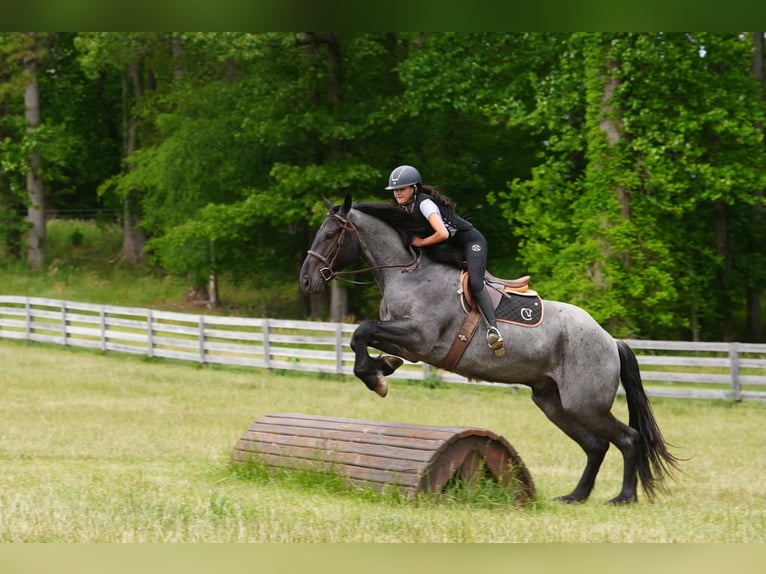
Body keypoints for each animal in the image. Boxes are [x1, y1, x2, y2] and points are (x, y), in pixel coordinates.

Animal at [298, 194, 680, 504]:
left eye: (330, 235)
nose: (306, 280)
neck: (408, 273)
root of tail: (610, 340)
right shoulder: (410, 343)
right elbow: (365, 339)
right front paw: (383, 368)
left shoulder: (420, 338)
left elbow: (361, 332)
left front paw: (375, 378)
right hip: (553, 402)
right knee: (596, 445)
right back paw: (576, 496)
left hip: (585, 403)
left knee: (628, 439)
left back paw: (624, 497)